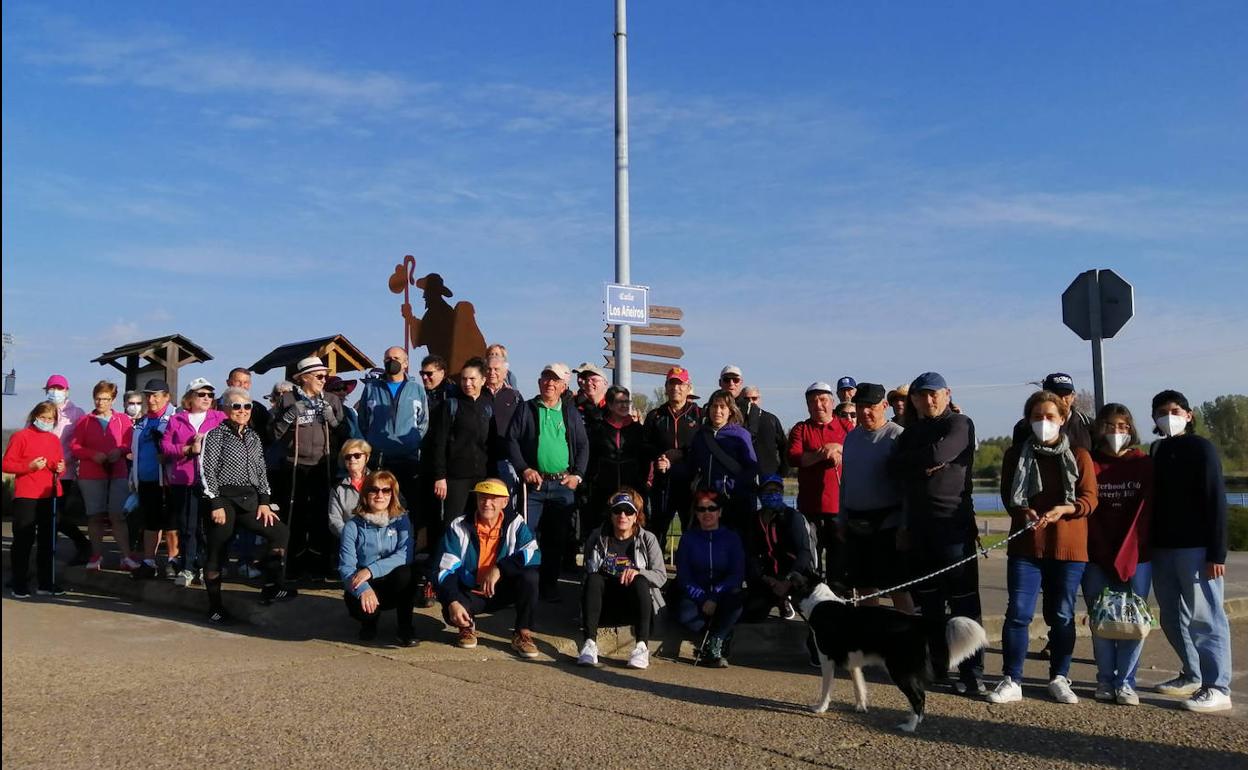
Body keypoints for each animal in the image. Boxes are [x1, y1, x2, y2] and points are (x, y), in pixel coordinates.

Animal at [793, 576, 988, 733]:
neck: (820, 601)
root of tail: (920, 622)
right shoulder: (854, 662)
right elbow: (859, 686)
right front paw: (861, 707)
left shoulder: (827, 659)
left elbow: (826, 688)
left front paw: (820, 708)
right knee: (919, 695)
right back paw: (914, 719)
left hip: (898, 670)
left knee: (918, 697)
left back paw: (909, 727)